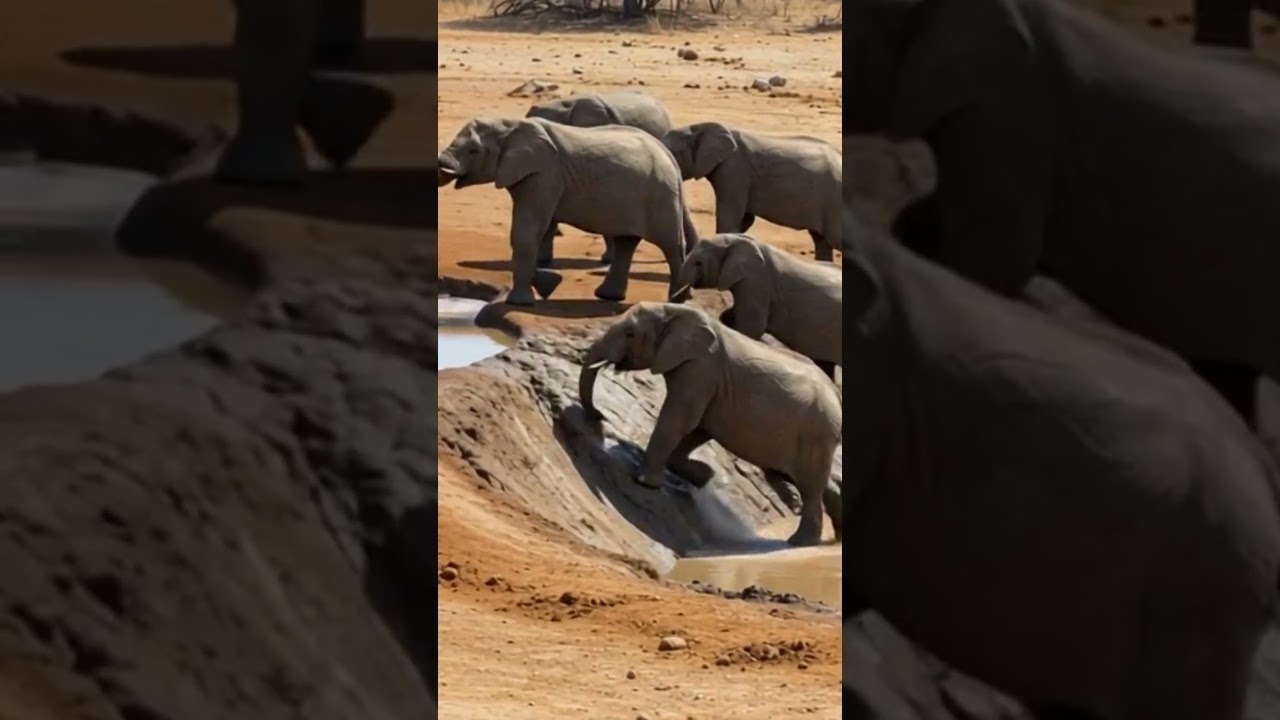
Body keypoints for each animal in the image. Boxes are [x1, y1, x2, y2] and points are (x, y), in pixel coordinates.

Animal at [437, 118, 698, 306]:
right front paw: (548, 282)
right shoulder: (540, 177)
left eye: (474, 151)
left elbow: (527, 229)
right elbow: (542, 229)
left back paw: (677, 301)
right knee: (627, 242)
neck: (509, 125)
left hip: (660, 194)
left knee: (670, 245)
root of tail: (667, 154)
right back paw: (608, 297)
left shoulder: (544, 173)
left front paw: (521, 302)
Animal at [577, 302, 841, 547]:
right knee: (816, 482)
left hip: (815, 431)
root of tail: (836, 393)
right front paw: (705, 476)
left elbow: (681, 418)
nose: (598, 415)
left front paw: (643, 482)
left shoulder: (701, 369)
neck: (674, 311)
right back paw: (835, 538)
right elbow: (699, 427)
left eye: (630, 334)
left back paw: (800, 542)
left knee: (809, 487)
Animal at [661, 122, 842, 262]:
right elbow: (745, 218)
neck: (699, 126)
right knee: (821, 240)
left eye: (674, 153)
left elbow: (730, 214)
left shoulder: (735, 169)